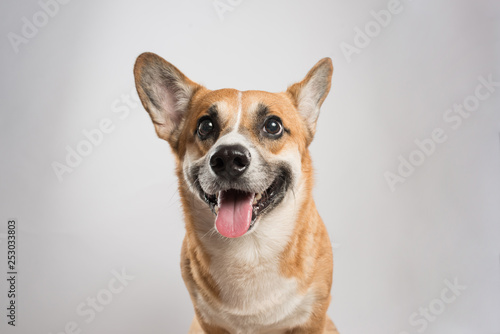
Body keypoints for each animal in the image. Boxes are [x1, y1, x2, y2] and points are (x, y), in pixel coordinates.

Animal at [134, 53, 336, 332]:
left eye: (273, 125)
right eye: (205, 126)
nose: (229, 158)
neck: (250, 248)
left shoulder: (312, 319)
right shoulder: (208, 321)